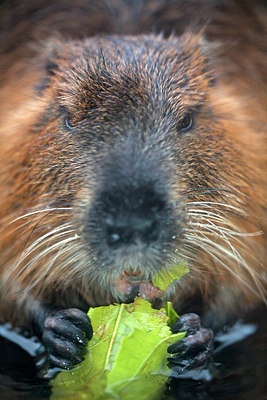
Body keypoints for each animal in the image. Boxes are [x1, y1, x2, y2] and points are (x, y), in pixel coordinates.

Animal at [0, 0, 266, 374]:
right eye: (67, 118)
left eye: (187, 119)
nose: (132, 226)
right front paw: (63, 331)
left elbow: (241, 283)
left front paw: (194, 335)